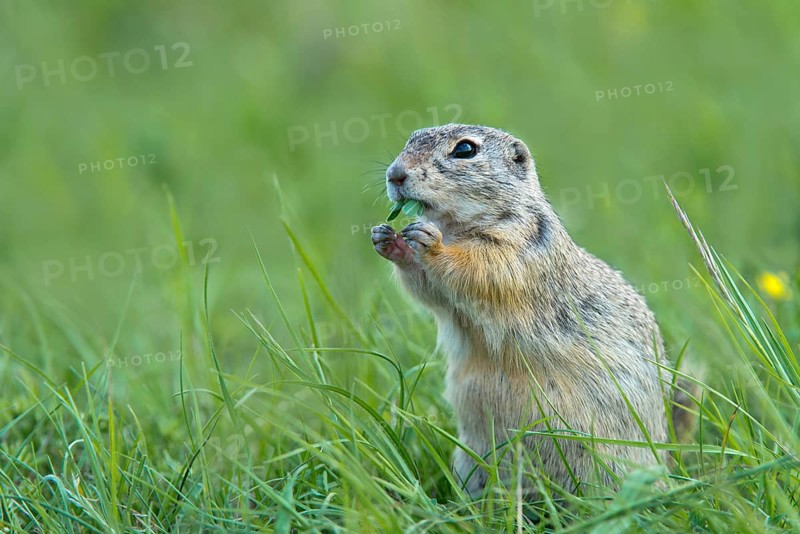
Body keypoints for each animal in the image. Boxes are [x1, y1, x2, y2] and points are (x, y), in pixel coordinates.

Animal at [371, 124, 696, 496]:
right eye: (411, 137)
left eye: (465, 150)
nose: (395, 174)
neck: (455, 225)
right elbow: (427, 288)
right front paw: (386, 239)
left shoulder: (520, 243)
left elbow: (480, 268)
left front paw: (431, 243)